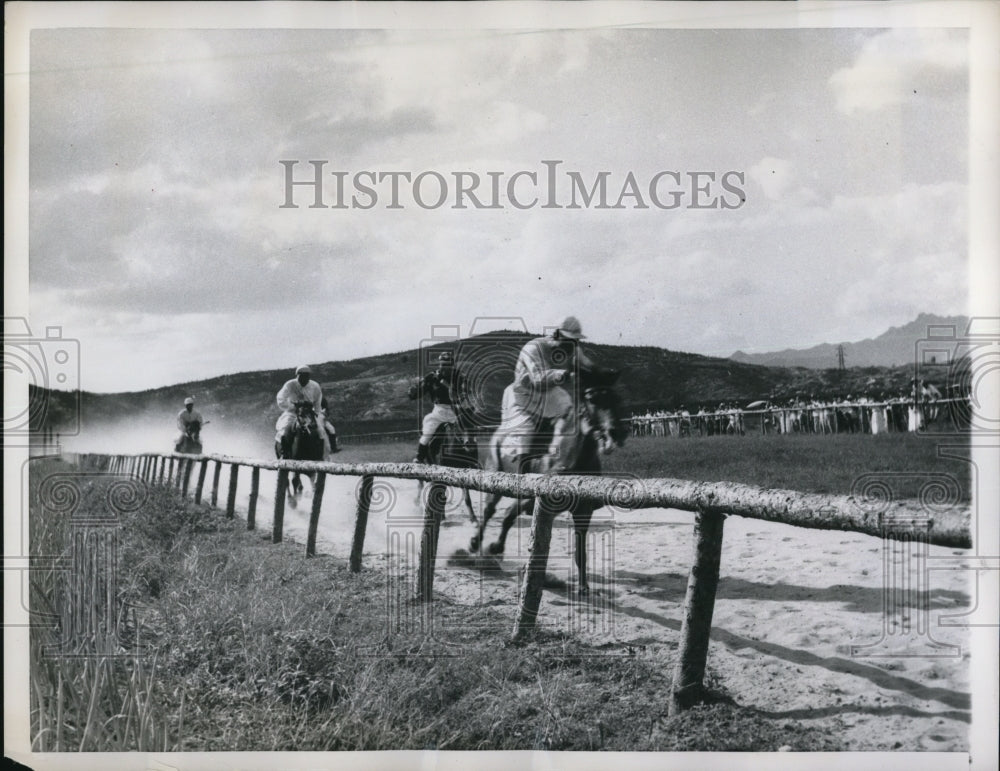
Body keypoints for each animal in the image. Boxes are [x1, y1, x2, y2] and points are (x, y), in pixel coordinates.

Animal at [468, 372, 624, 596]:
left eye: (617, 399)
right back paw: (476, 543)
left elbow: (580, 549)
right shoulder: (542, 503)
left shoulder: (582, 511)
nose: (617, 432)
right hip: (496, 481)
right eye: (594, 399)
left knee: (506, 514)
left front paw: (583, 586)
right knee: (490, 510)